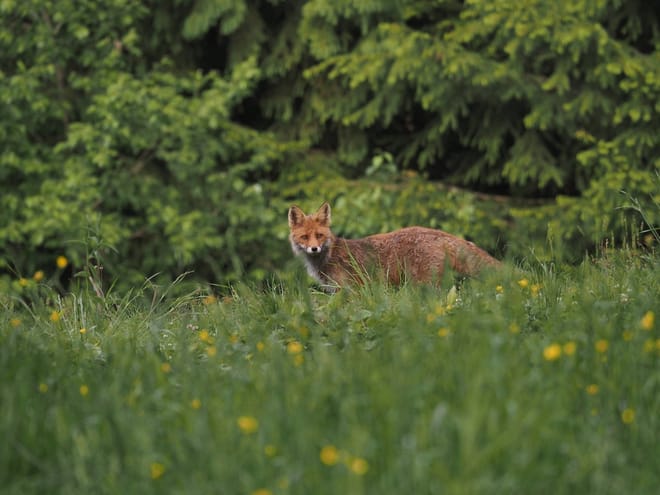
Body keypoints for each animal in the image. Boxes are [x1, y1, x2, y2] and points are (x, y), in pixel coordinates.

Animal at [288, 202, 501, 290]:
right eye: (305, 237)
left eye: (319, 235)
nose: (314, 248)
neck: (329, 256)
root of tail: (435, 232)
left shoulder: (352, 290)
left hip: (424, 285)